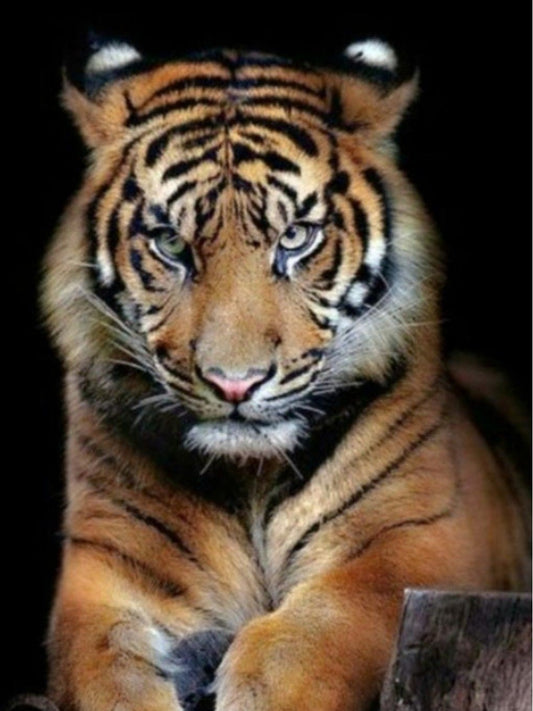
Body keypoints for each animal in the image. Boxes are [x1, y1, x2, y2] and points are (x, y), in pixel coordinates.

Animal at [41, 35, 530, 711]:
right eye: (171, 244)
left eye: (295, 238)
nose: (234, 383)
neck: (250, 476)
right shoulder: (105, 566)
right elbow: (105, 671)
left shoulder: (419, 541)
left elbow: (319, 630)